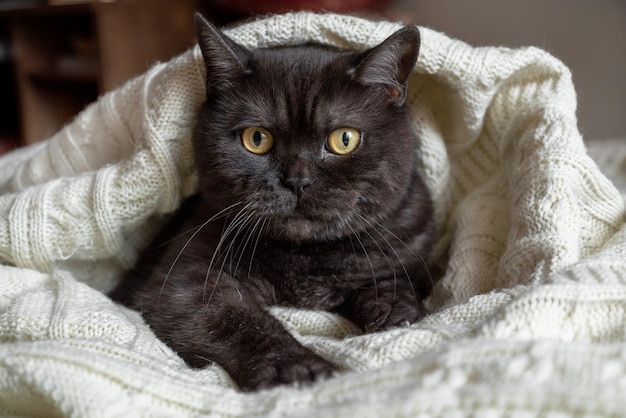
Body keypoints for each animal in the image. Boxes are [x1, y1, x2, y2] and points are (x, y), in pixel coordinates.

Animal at [111, 13, 434, 392]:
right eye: (256, 138)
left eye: (344, 139)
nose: (297, 181)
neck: (306, 257)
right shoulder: (187, 283)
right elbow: (240, 322)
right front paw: (299, 369)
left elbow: (394, 281)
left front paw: (395, 310)